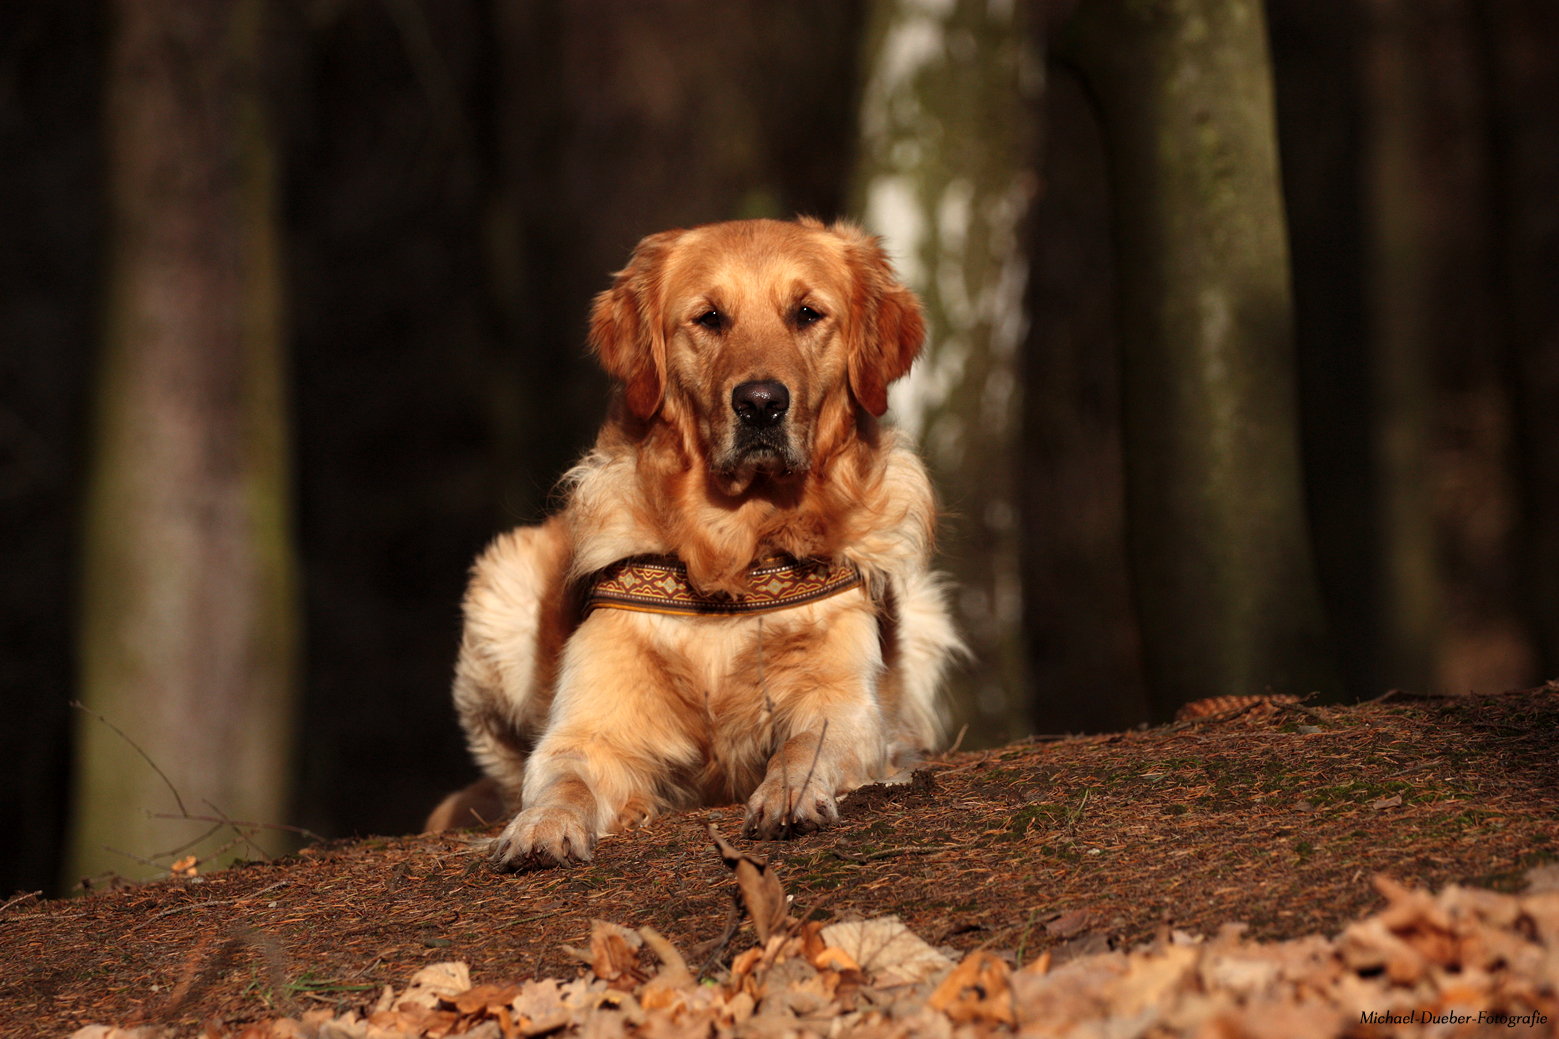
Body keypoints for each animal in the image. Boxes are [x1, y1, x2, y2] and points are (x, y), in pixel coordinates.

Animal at [430, 213, 960, 861]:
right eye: (710, 317)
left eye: (807, 313)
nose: (761, 403)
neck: (734, 543)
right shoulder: (591, 724)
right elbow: (564, 775)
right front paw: (543, 823)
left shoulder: (843, 699)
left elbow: (805, 746)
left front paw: (789, 794)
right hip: (500, 586)